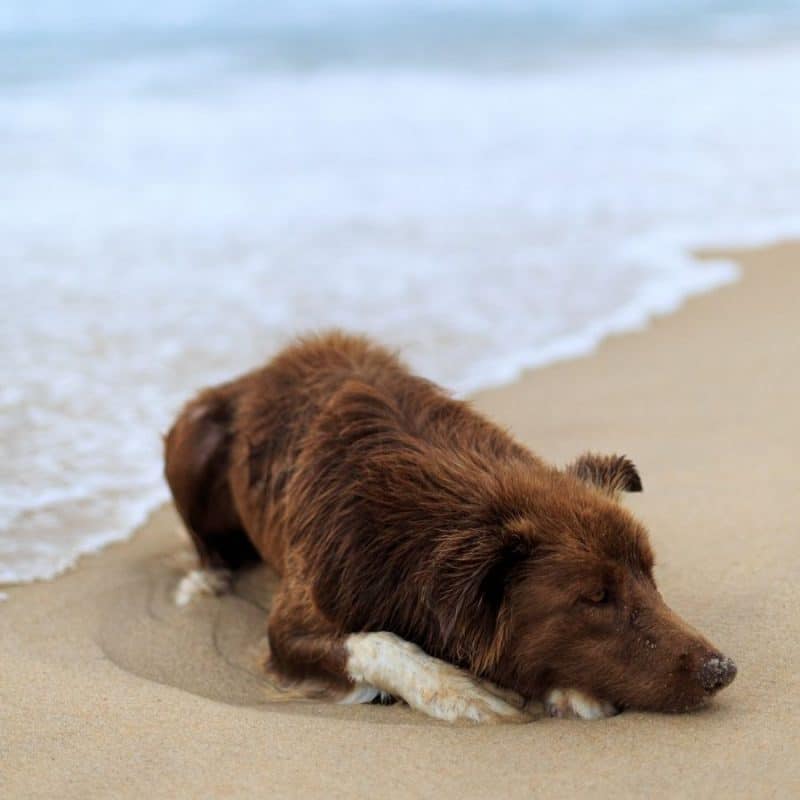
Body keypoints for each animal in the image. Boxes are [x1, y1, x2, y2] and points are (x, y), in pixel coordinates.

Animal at [164, 330, 736, 720]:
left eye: (651, 577)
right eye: (594, 598)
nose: (722, 671)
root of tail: (261, 370)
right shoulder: (290, 627)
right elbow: (376, 643)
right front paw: (463, 691)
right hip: (193, 440)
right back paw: (206, 579)